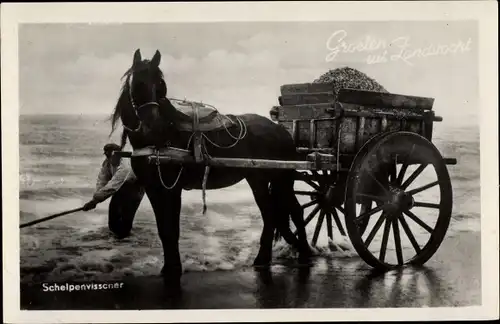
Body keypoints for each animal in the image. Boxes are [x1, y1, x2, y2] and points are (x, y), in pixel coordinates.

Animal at [109, 49, 312, 292]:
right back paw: (265, 259)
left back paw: (304, 253)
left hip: (281, 178)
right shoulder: (153, 188)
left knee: (295, 211)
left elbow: (171, 229)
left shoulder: (172, 188)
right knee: (271, 213)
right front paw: (168, 267)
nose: (153, 124)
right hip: (259, 179)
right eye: (138, 83)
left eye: (161, 85)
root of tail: (281, 131)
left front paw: (173, 269)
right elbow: (163, 229)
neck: (159, 139)